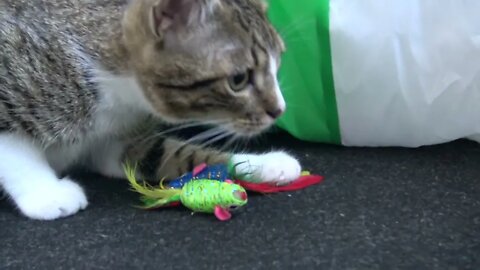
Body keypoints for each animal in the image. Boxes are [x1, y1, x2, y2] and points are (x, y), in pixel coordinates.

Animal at [0, 0, 300, 219]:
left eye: (277, 65)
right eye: (238, 79)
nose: (280, 109)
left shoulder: (114, 141)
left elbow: (173, 155)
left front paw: (266, 164)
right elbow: (15, 151)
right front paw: (46, 192)